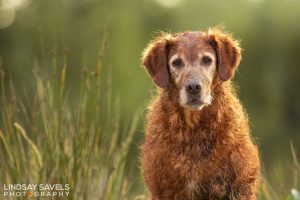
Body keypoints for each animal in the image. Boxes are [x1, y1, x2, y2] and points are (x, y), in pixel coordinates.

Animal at [141, 28, 260, 200]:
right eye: (176, 62)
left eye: (206, 60)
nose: (193, 87)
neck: (193, 130)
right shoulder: (164, 189)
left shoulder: (237, 187)